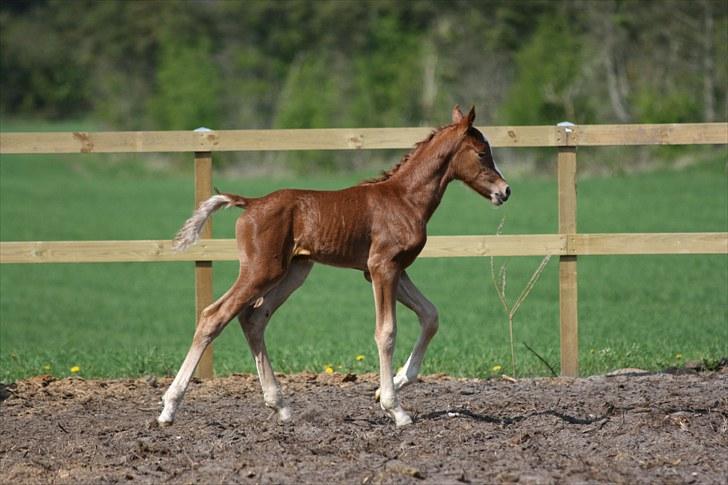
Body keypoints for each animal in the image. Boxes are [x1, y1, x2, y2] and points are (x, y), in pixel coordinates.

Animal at [159, 107, 512, 428]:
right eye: (482, 153)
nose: (505, 191)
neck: (405, 198)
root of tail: (252, 203)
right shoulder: (382, 267)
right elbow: (386, 332)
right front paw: (394, 408)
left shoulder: (388, 270)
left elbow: (430, 315)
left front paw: (392, 385)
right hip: (261, 270)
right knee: (213, 316)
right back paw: (169, 408)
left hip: (295, 271)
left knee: (254, 318)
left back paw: (281, 406)